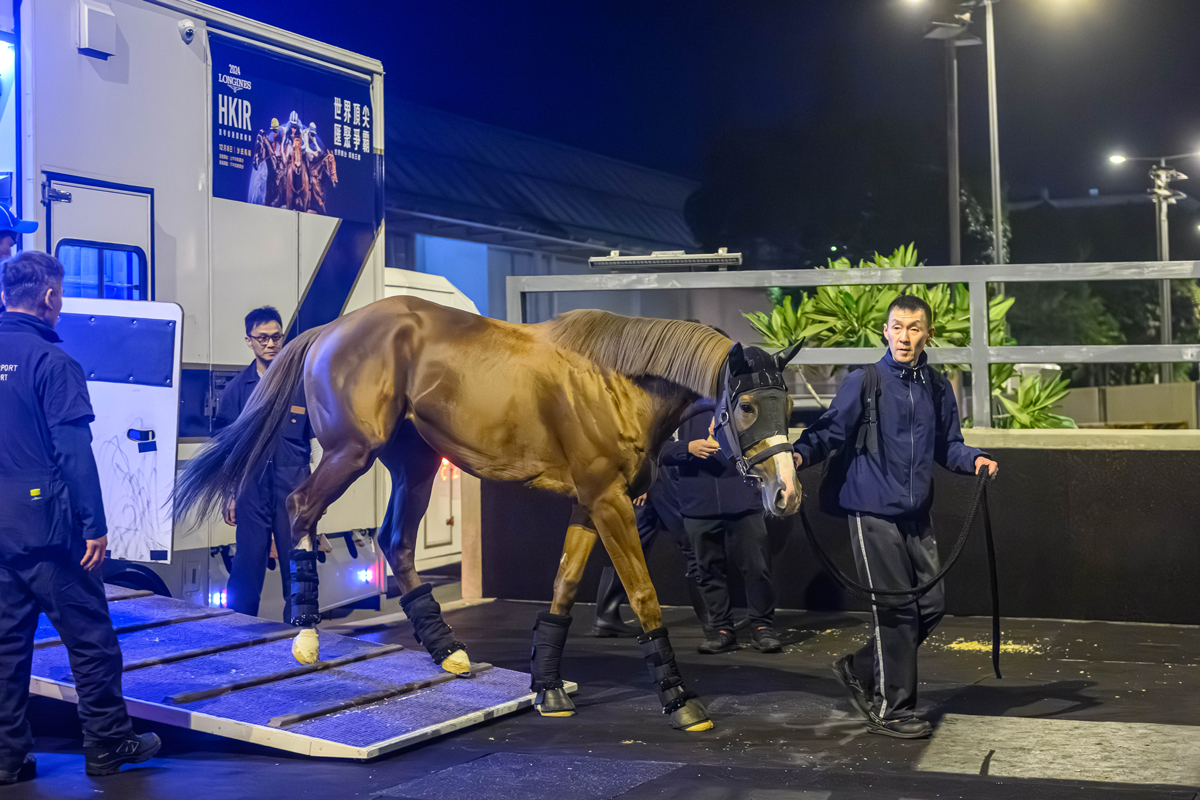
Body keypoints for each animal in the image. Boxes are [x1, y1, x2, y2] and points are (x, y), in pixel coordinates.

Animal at [171, 298, 806, 734]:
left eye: (787, 403)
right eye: (747, 407)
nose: (788, 494)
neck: (617, 382)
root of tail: (330, 330)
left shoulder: (587, 503)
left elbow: (563, 587)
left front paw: (548, 689)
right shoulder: (608, 500)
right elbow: (644, 594)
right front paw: (679, 700)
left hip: (416, 461)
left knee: (396, 541)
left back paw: (446, 649)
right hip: (352, 451)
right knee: (301, 508)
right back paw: (305, 636)